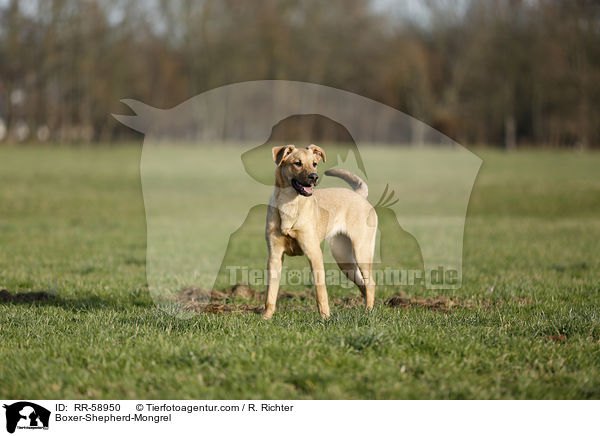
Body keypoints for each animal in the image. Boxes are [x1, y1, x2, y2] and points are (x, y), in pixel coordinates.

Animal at [262, 145, 376, 318]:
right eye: (297, 163)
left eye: (314, 163)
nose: (314, 177)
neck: (290, 205)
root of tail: (359, 195)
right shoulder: (275, 256)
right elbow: (271, 294)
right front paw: (266, 318)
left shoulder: (314, 254)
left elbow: (321, 292)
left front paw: (326, 318)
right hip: (344, 259)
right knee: (362, 284)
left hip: (362, 252)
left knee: (370, 283)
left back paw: (368, 311)